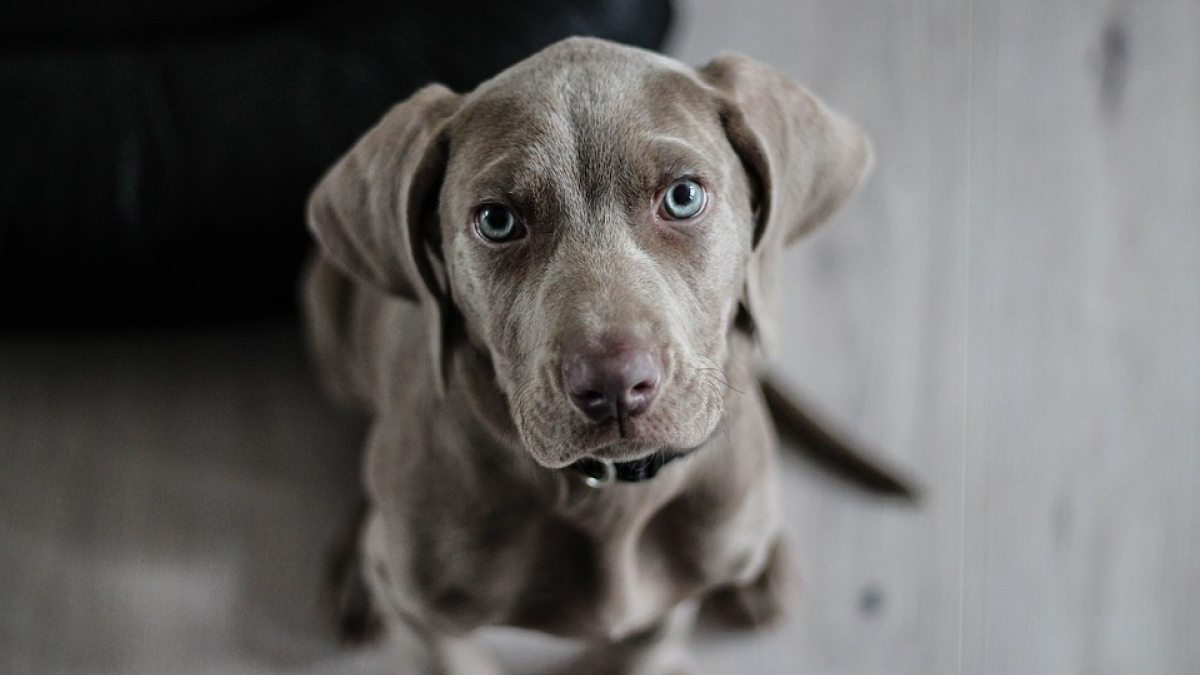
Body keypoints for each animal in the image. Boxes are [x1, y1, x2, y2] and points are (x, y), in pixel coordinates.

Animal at [304, 36, 873, 672]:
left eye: (683, 197)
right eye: (496, 220)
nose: (615, 386)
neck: (608, 497)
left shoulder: (666, 610)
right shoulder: (427, 620)